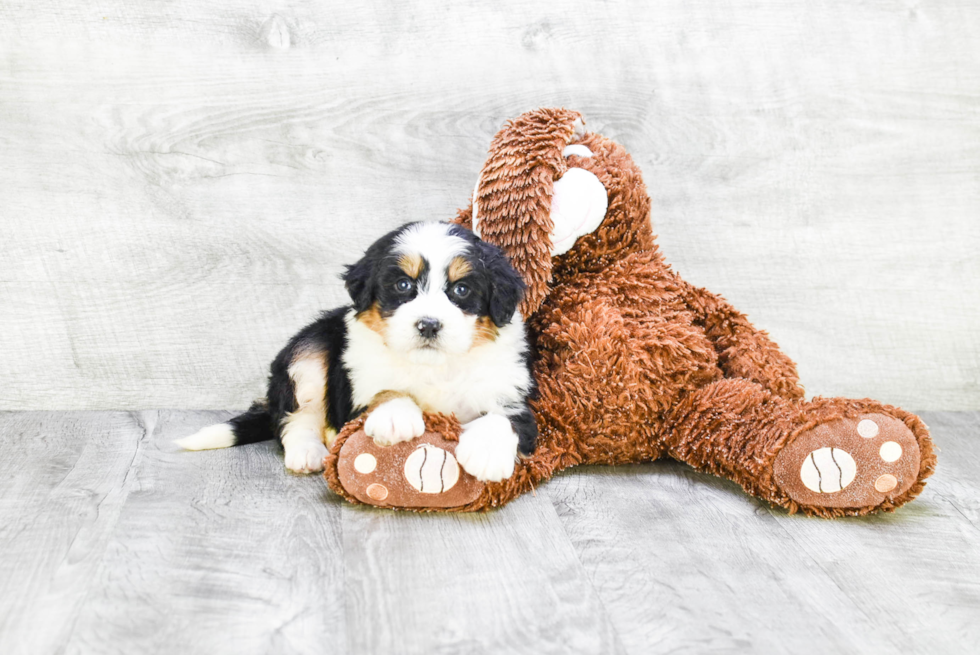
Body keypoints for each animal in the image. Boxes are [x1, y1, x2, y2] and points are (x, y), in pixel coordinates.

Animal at [174, 223, 536, 484]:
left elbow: (505, 417)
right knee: (294, 417)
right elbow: (384, 389)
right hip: (309, 348)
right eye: (403, 285)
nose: (429, 325)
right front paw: (394, 416)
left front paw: (487, 455)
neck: (434, 366)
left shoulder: (514, 390)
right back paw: (306, 452)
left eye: (461, 289)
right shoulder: (353, 388)